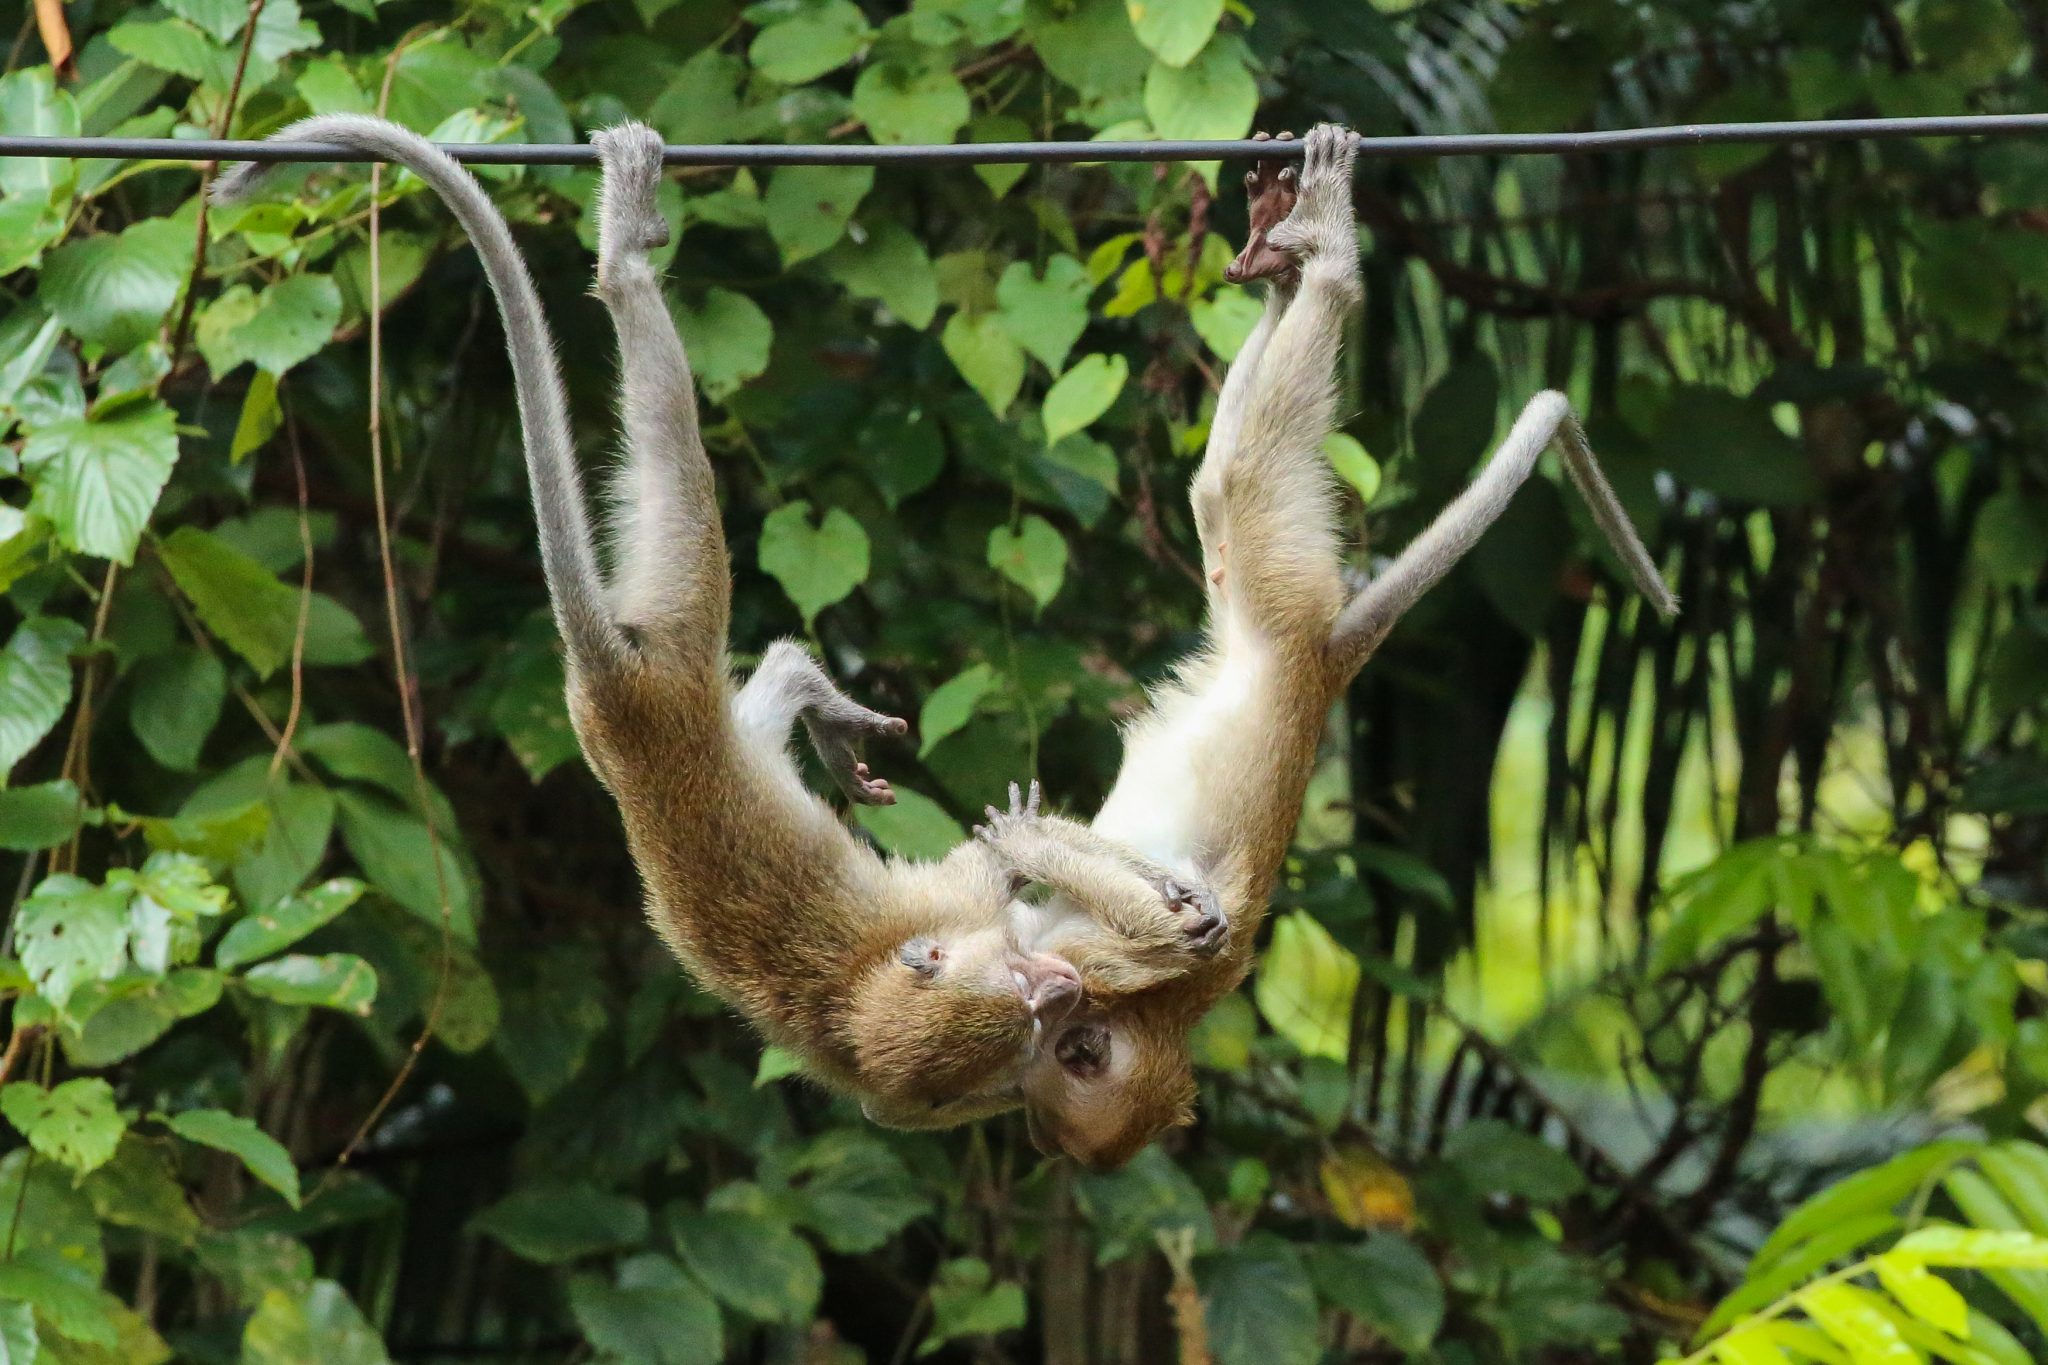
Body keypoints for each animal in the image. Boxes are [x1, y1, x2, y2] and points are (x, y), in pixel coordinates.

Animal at [214, 116, 1225, 1127]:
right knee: (683, 493)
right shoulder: (957, 931)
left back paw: (805, 688)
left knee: (744, 684)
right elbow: (1005, 869)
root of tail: (618, 691)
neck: (859, 996)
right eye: (1024, 1010)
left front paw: (1164, 887)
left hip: (642, 711)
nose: (1060, 991)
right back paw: (627, 262)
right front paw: (1068, 859)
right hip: (676, 636)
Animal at [973, 124, 1679, 1169]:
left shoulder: (1106, 962)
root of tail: (1315, 672)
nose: (1022, 1119)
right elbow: (1172, 909)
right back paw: (1295, 259)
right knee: (1234, 473)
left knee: (1235, 477)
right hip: (1273, 579)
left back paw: (1312, 268)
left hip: (1272, 586)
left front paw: (1028, 843)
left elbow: (1182, 925)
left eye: (1047, 1099)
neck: (1129, 1005)